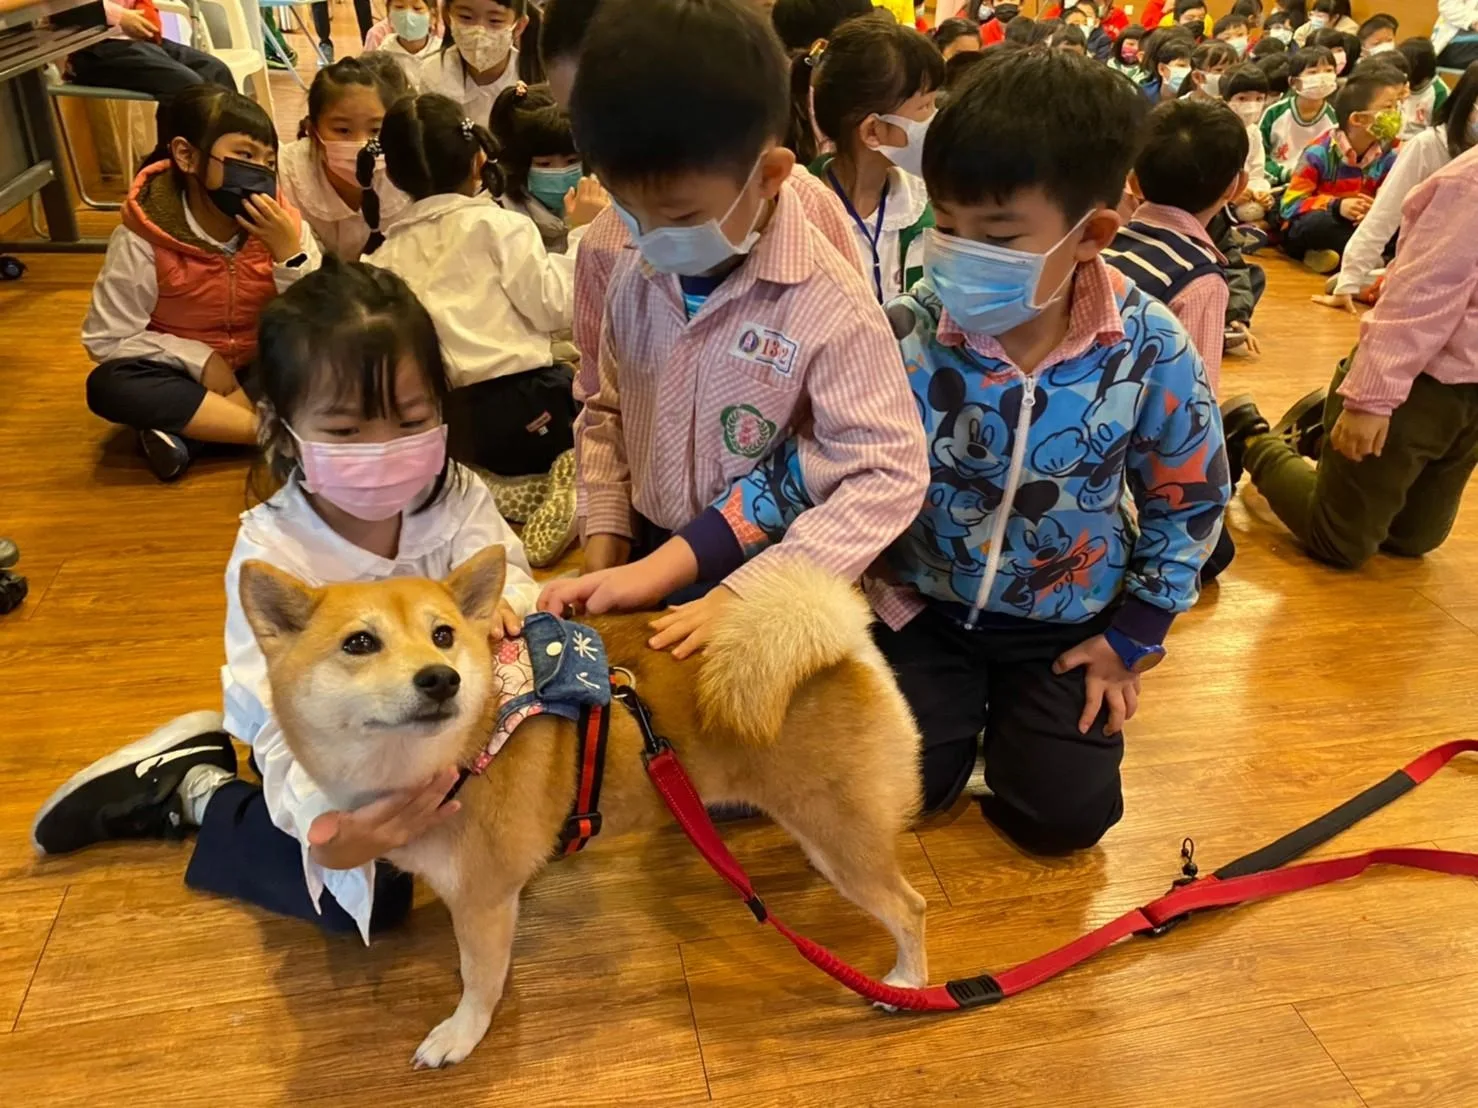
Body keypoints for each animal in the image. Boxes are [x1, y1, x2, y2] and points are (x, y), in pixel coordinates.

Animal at [240, 552, 928, 1069]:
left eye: (443, 636)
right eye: (360, 643)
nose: (440, 678)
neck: (471, 745)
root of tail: (849, 652)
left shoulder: (482, 900)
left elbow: (479, 978)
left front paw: (462, 1033)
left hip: (842, 838)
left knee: (910, 908)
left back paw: (906, 985)